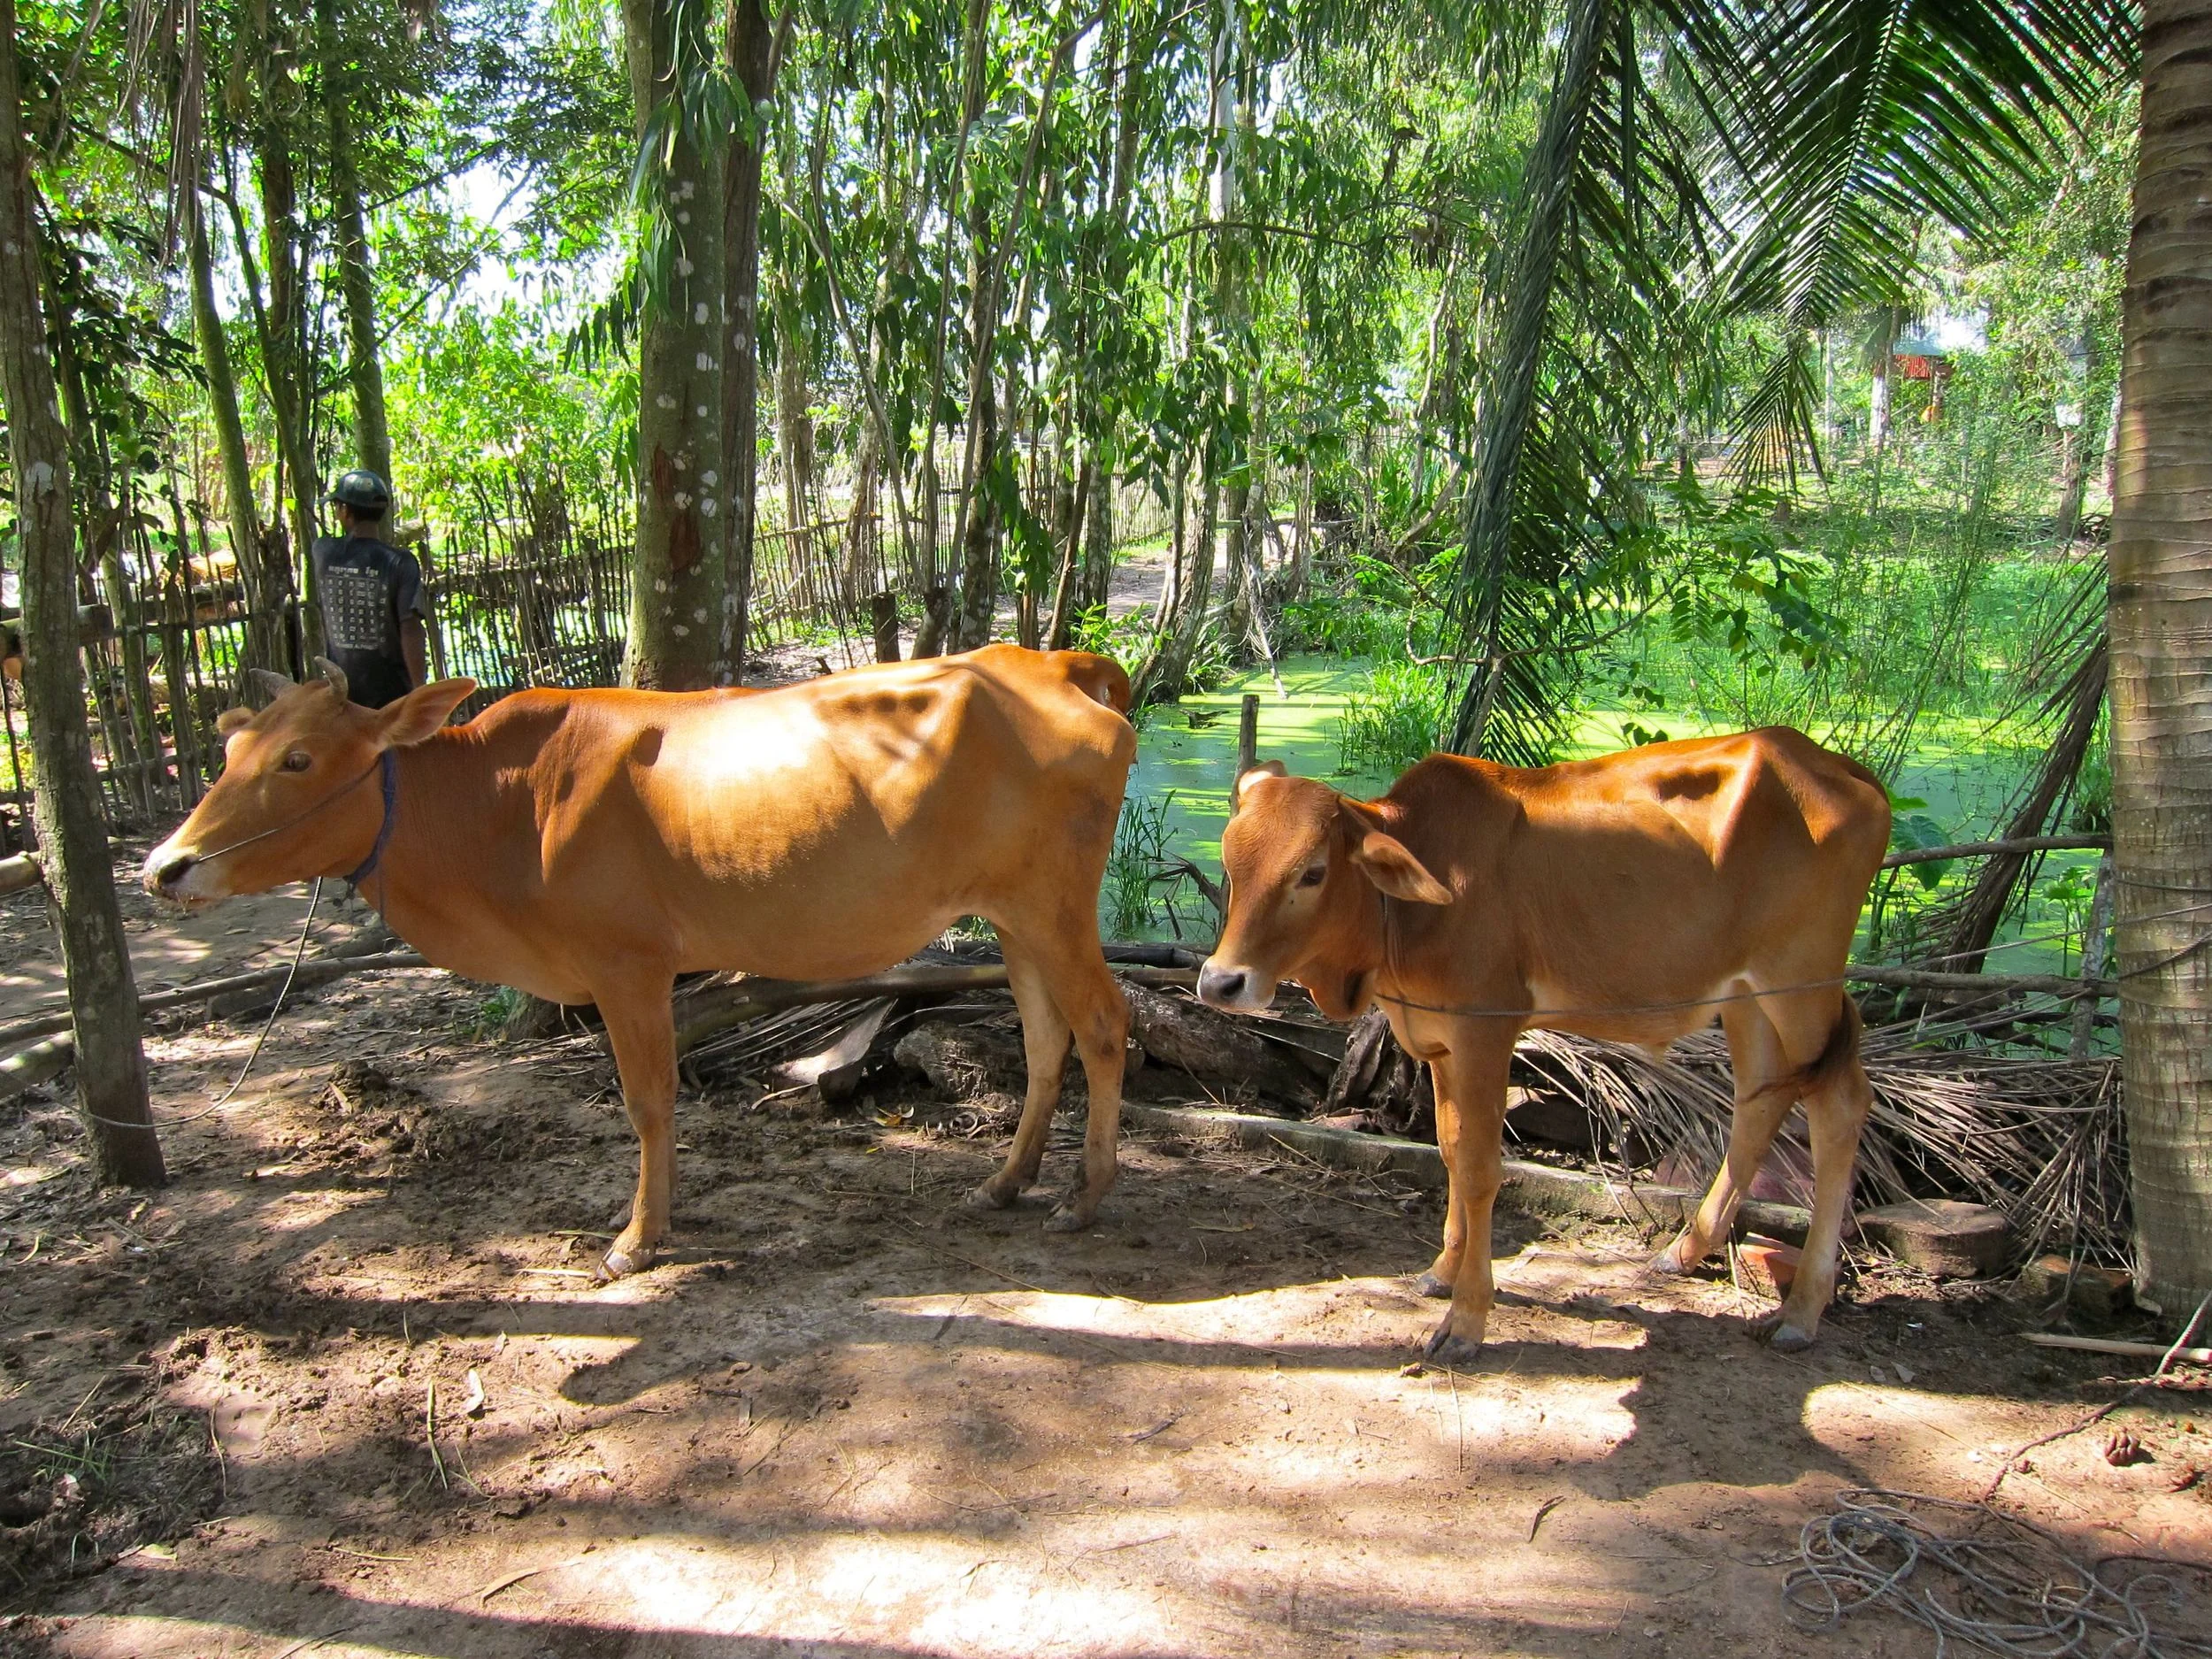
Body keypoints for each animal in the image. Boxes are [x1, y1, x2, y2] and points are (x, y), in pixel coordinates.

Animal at [144, 645, 1139, 1275]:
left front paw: (638, 1237)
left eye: (299, 758)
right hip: (1010, 914)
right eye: (232, 747)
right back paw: (1005, 1182)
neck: (500, 806)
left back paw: (1085, 1197)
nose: (164, 866)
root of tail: (1056, 662)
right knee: (1044, 1038)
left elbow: (649, 1101)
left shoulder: (628, 965)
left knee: (1102, 1023)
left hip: (1054, 904)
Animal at [1196, 728, 1889, 1364]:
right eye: (1231, 864)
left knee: (1841, 1103)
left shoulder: (1484, 1031)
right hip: (1746, 996)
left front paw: (1467, 1318)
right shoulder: (1442, 1045)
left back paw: (1802, 1309)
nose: (1221, 982)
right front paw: (1443, 1270)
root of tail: (1845, 771)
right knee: (1759, 1100)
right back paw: (1685, 1251)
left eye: (1312, 872)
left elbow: (1480, 1169)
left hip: (1801, 984)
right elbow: (1450, 1151)